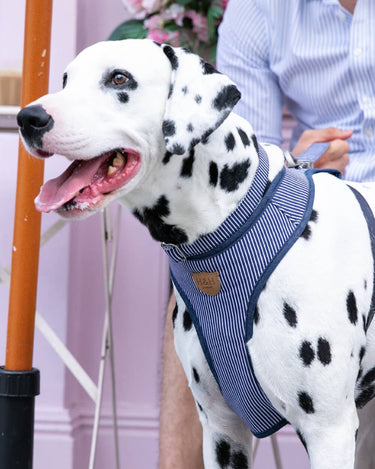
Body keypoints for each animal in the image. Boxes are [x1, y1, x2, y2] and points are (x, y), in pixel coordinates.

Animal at [16, 38, 375, 466]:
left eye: (119, 78)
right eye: (65, 80)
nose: (28, 118)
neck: (237, 222)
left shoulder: (329, 433)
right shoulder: (223, 430)